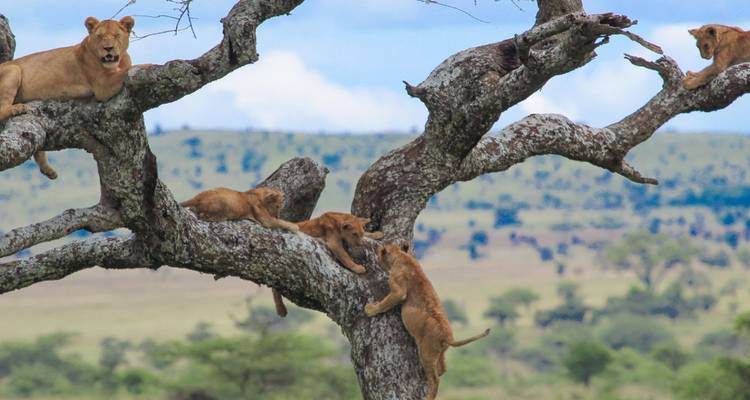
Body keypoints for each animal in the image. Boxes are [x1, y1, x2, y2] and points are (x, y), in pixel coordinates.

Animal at [0, 16, 134, 179]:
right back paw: (17, 109)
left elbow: (129, 67)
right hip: (13, 69)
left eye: (116, 35)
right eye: (100, 37)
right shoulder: (102, 85)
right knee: (1, 109)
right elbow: (133, 68)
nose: (108, 48)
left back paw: (48, 170)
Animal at [365, 243, 490, 400]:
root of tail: (448, 337)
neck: (401, 256)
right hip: (440, 351)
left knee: (435, 379)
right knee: (443, 368)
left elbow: (385, 303)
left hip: (426, 353)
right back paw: (440, 371)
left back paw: (428, 396)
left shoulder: (398, 291)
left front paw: (370, 309)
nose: (377, 257)